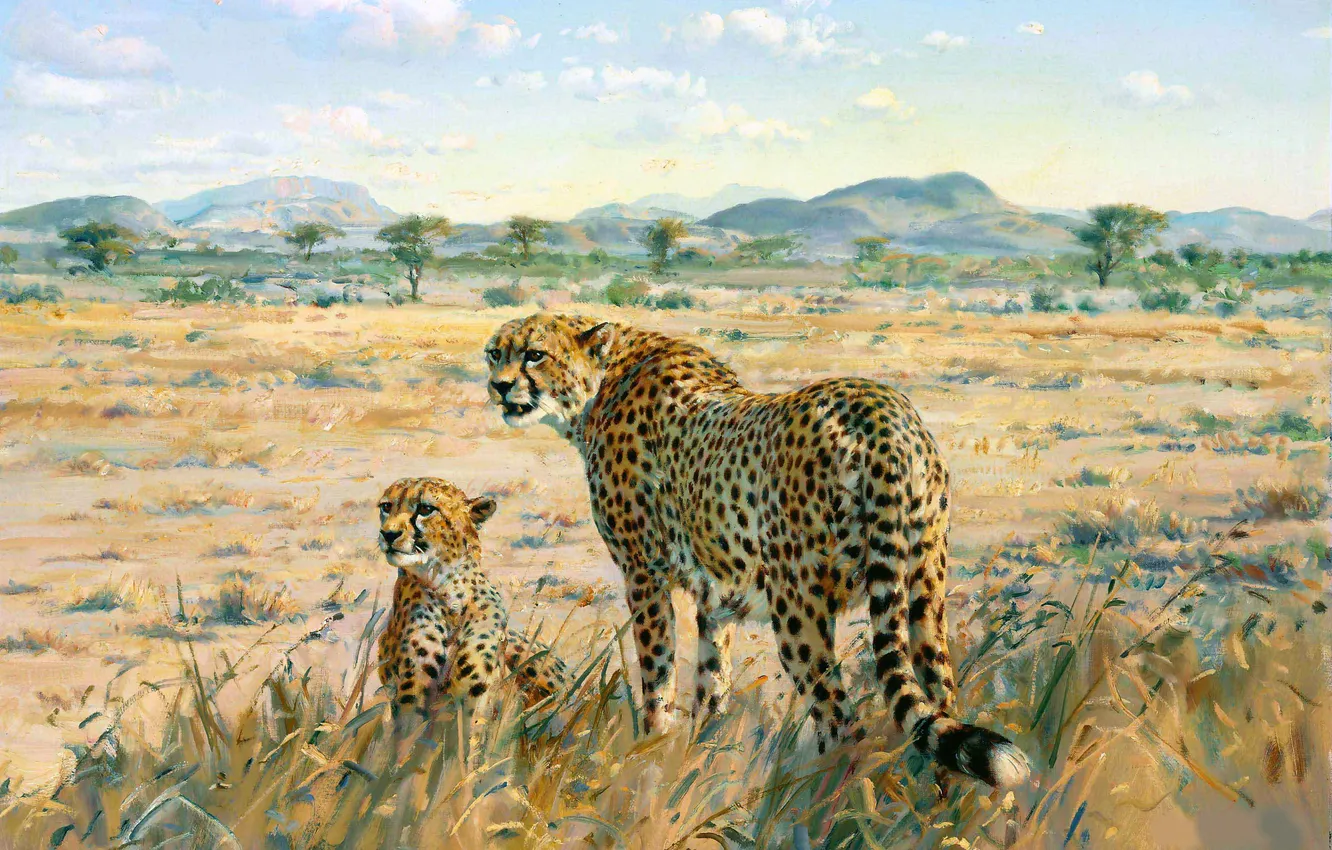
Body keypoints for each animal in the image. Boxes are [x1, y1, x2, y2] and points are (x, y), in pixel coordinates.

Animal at [376, 477, 568, 736]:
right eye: (387, 507)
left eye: (425, 509)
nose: (388, 534)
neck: (449, 594)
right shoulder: (411, 692)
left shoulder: (475, 694)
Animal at [482, 313, 1030, 788]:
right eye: (494, 353)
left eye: (534, 354)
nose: (499, 385)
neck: (602, 383)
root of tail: (880, 410)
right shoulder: (716, 597)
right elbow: (711, 682)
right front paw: (699, 757)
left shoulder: (644, 575)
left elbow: (658, 674)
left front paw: (650, 754)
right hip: (923, 589)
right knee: (940, 702)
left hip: (798, 611)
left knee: (842, 719)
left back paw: (817, 800)